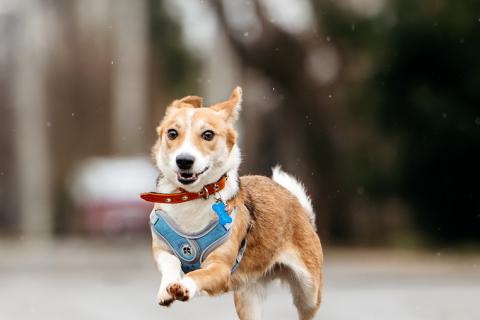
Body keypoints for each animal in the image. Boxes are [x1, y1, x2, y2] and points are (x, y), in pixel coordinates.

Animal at [142, 86, 322, 318]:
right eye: (172, 133)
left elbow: (197, 275)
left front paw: (184, 286)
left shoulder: (220, 269)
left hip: (309, 293)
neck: (192, 197)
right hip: (248, 298)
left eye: (208, 134)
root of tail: (300, 208)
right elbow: (170, 263)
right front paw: (167, 288)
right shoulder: (162, 250)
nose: (184, 160)